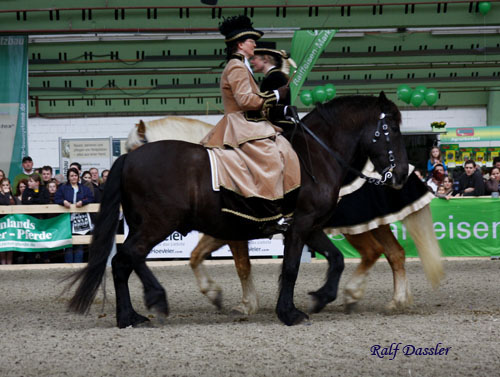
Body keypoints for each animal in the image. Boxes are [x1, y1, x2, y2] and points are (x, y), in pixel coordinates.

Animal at [67, 92, 410, 326]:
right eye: (392, 129)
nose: (401, 174)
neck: (315, 154)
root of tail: (129, 162)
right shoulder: (301, 225)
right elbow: (289, 268)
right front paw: (288, 312)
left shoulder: (308, 226)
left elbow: (335, 260)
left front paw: (319, 298)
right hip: (155, 225)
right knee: (127, 258)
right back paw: (148, 304)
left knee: (124, 262)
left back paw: (131, 315)